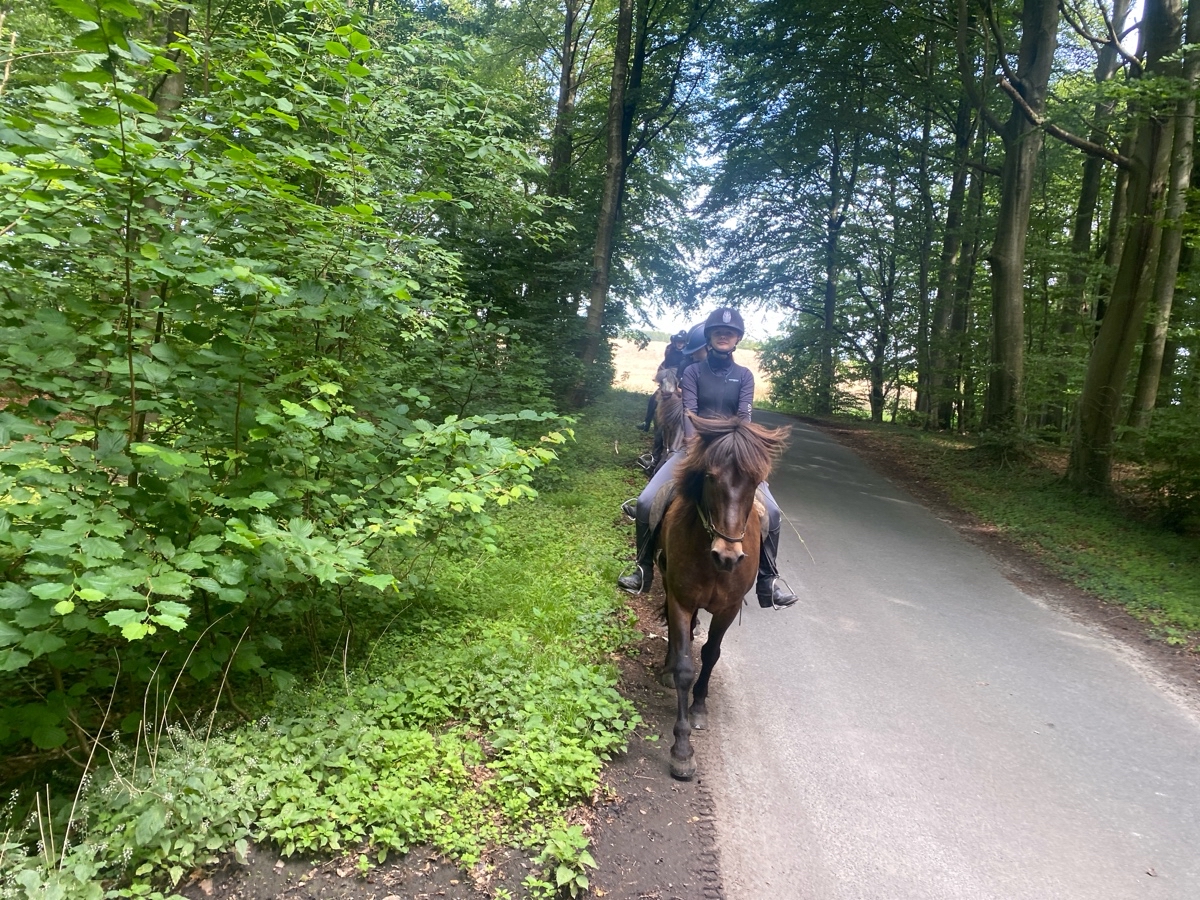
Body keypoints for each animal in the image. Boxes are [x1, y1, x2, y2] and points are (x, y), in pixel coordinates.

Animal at [657, 415, 787, 782]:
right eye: (710, 477)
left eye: (755, 482)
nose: (727, 556)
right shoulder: (682, 600)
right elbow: (686, 666)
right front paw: (682, 751)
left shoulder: (727, 609)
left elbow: (710, 654)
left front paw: (700, 707)